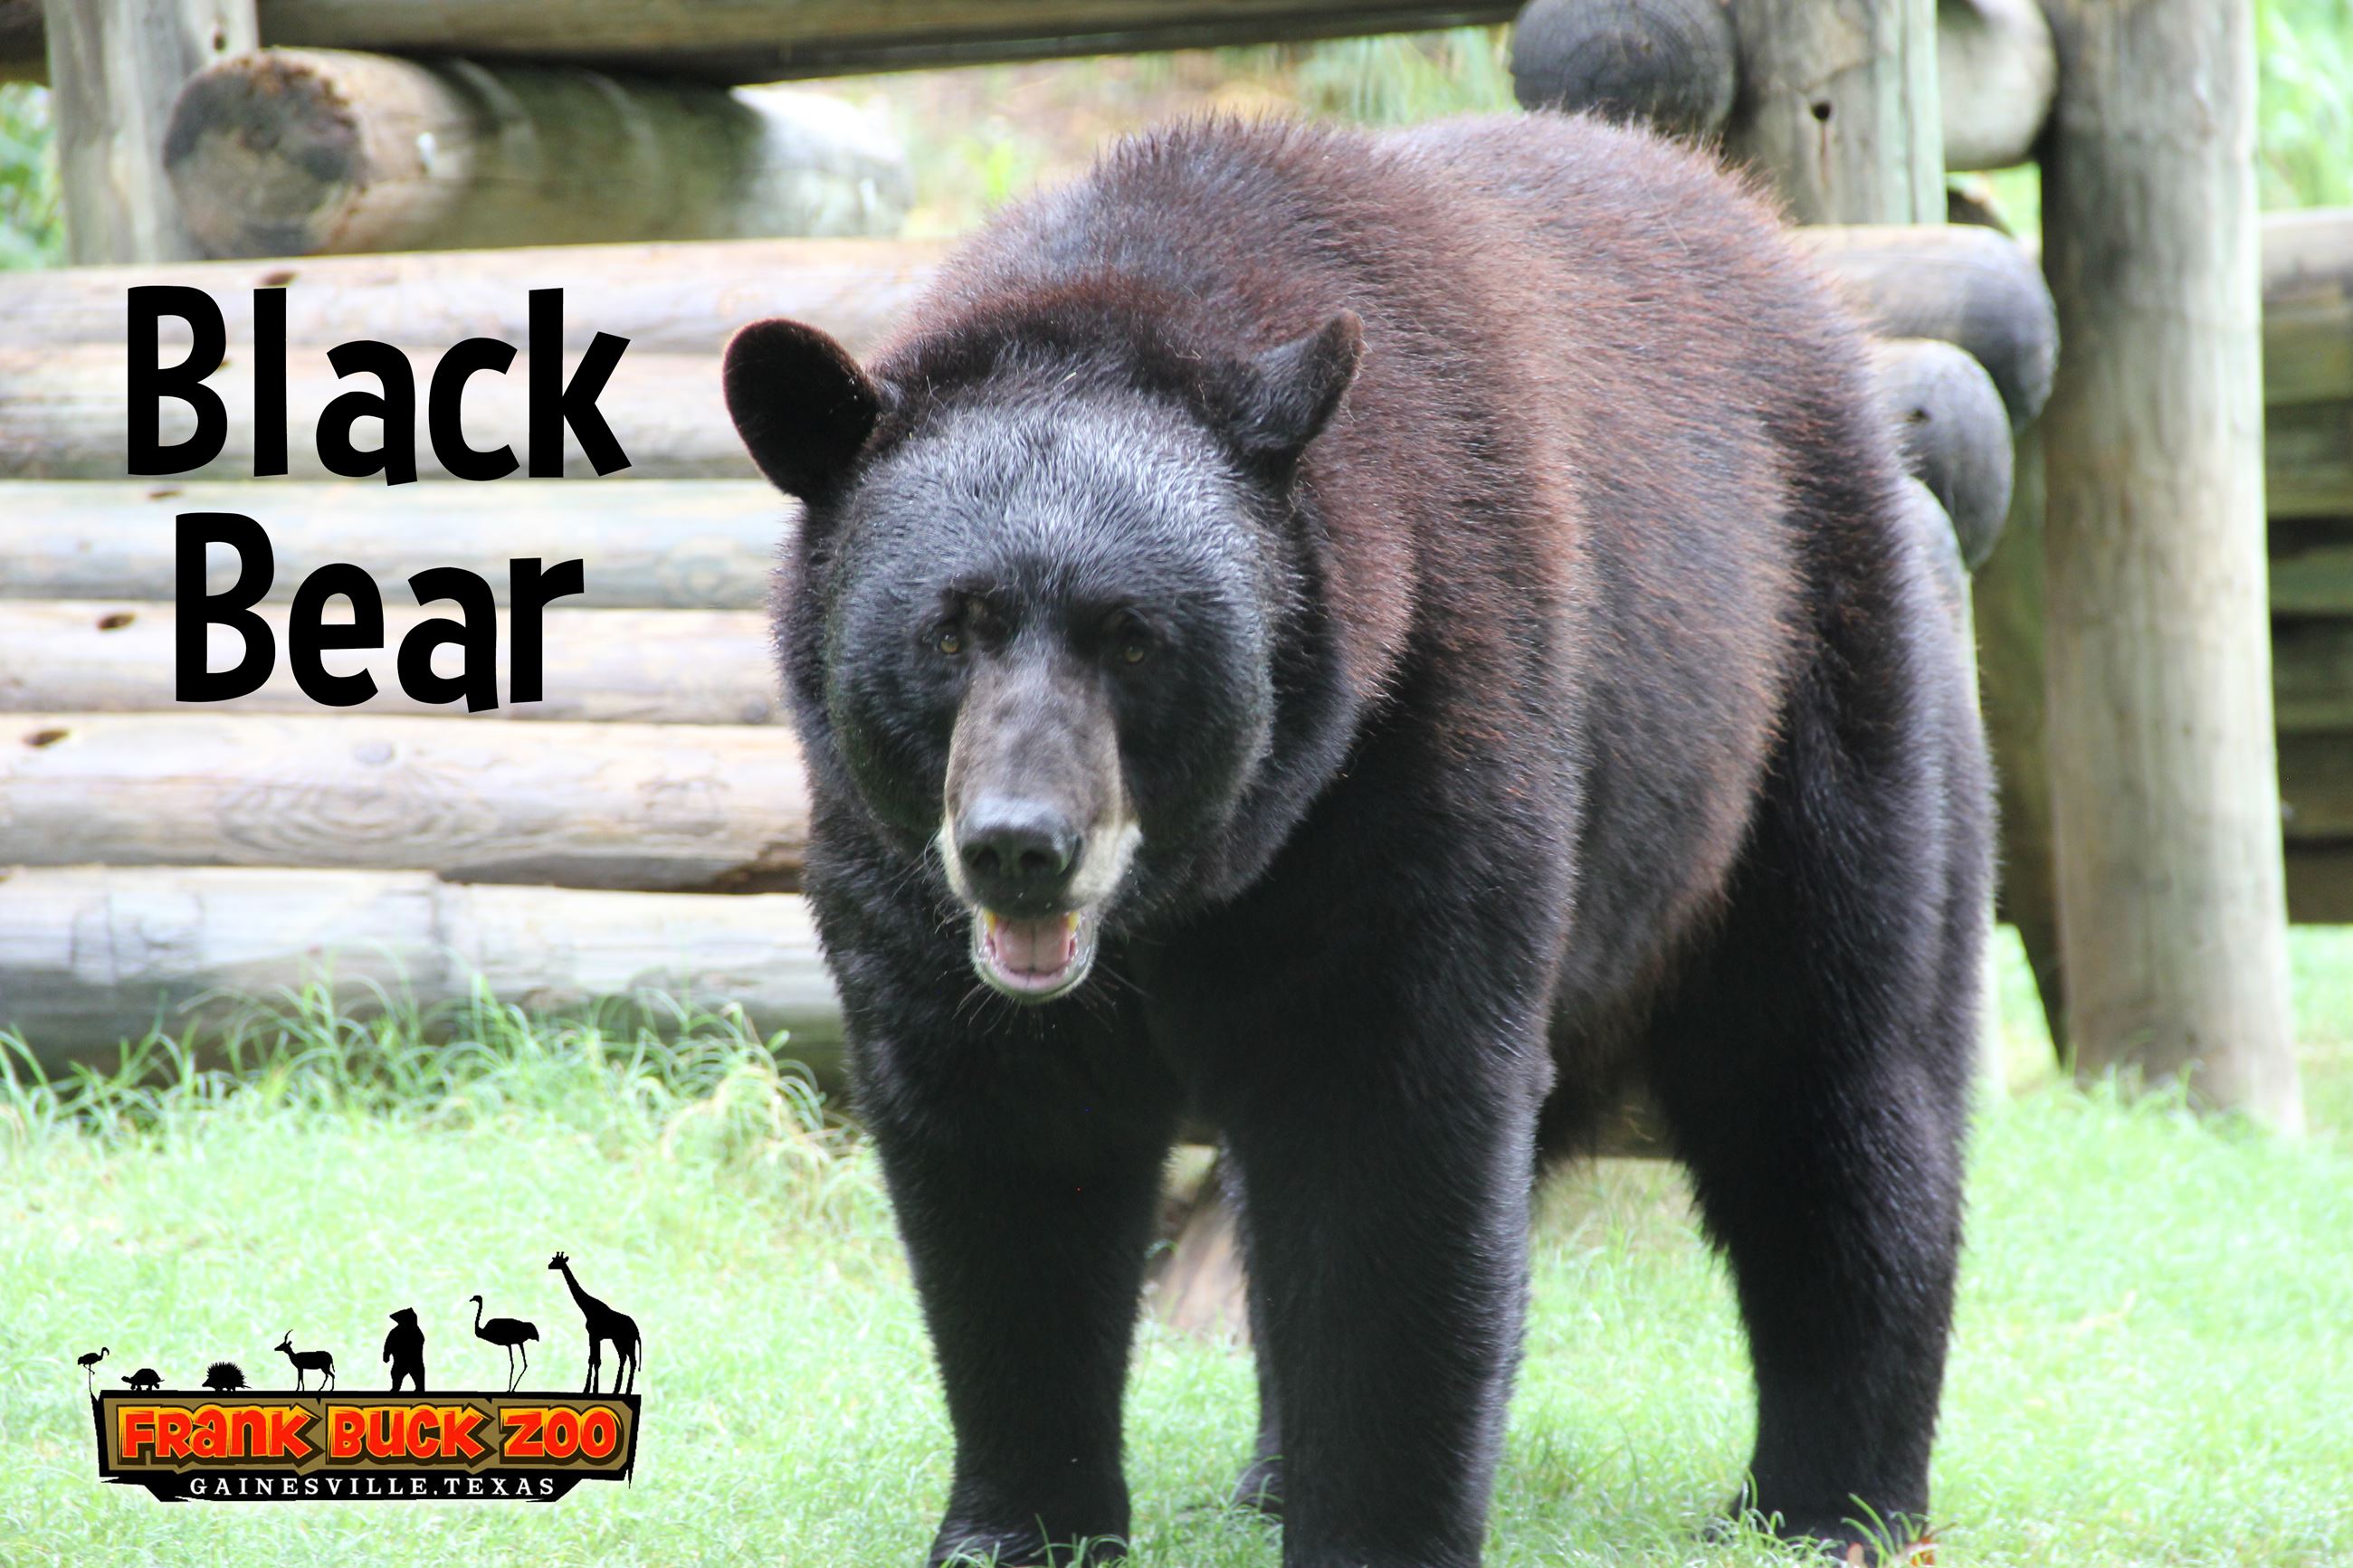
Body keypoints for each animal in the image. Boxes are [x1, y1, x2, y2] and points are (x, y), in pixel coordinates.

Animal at [721, 112, 1989, 1568]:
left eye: (1134, 636)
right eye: (948, 628)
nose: (1019, 846)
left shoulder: (1414, 728)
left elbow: (1389, 1136)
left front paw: (1375, 1517)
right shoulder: (898, 866)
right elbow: (1008, 1149)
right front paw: (1019, 1523)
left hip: (1807, 700)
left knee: (1832, 1079)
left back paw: (1833, 1502)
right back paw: (1274, 1467)